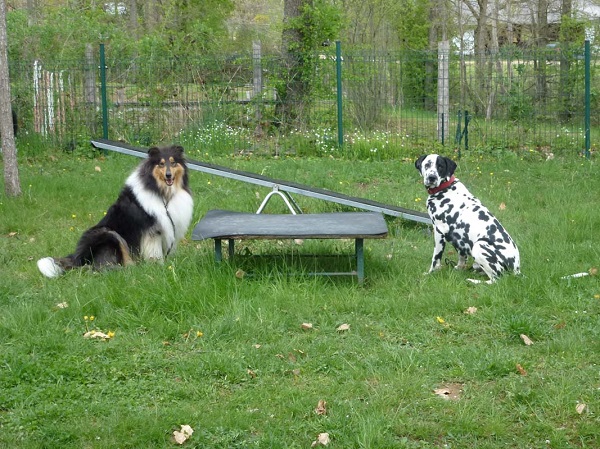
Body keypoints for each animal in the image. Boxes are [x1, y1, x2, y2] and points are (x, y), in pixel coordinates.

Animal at [37, 145, 194, 278]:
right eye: (161, 164)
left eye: (173, 163)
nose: (168, 175)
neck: (162, 193)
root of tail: (78, 259)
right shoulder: (152, 231)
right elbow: (155, 253)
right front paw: (158, 266)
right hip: (109, 233)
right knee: (101, 267)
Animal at [415, 154, 520, 284]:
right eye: (427, 164)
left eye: (440, 166)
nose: (432, 177)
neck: (446, 188)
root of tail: (516, 269)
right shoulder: (459, 240)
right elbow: (461, 257)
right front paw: (458, 269)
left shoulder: (439, 232)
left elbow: (435, 259)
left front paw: (430, 273)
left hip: (479, 247)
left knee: (495, 280)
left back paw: (474, 281)